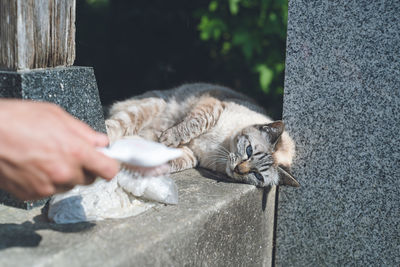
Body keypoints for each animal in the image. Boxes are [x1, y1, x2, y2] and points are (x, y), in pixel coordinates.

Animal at [104, 84, 298, 188]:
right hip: (154, 104)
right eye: (249, 150)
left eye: (258, 176)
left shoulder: (192, 155)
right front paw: (167, 138)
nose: (238, 169)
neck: (220, 148)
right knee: (113, 126)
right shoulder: (213, 105)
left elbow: (171, 161)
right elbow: (196, 123)